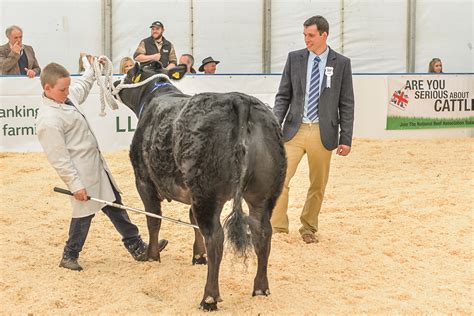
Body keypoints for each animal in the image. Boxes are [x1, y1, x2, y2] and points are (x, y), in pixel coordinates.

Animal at [115, 62, 286, 312]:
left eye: (128, 74)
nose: (115, 82)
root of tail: (240, 100)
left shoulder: (144, 180)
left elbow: (153, 220)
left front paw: (152, 256)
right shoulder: (190, 193)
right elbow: (191, 219)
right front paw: (198, 257)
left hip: (207, 192)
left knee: (216, 238)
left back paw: (209, 298)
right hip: (263, 193)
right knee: (261, 232)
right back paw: (261, 288)